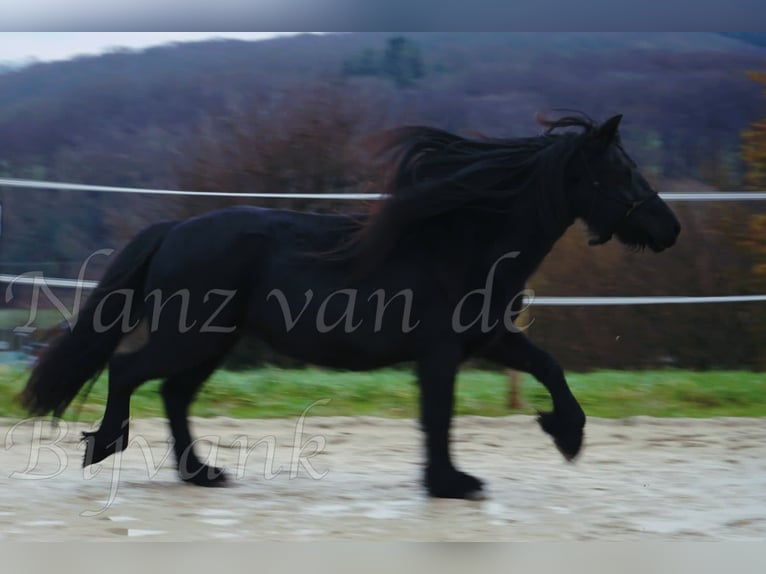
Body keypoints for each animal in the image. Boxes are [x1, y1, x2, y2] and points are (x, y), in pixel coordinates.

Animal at [18, 113, 681, 499]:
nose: (670, 228)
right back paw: (107, 447)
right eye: (620, 171)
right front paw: (452, 483)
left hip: (214, 341)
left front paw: (565, 435)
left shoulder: (488, 337)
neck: (463, 240)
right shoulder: (441, 351)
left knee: (173, 395)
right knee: (129, 370)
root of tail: (174, 230)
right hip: (194, 336)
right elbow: (438, 415)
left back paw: (202, 474)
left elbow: (549, 367)